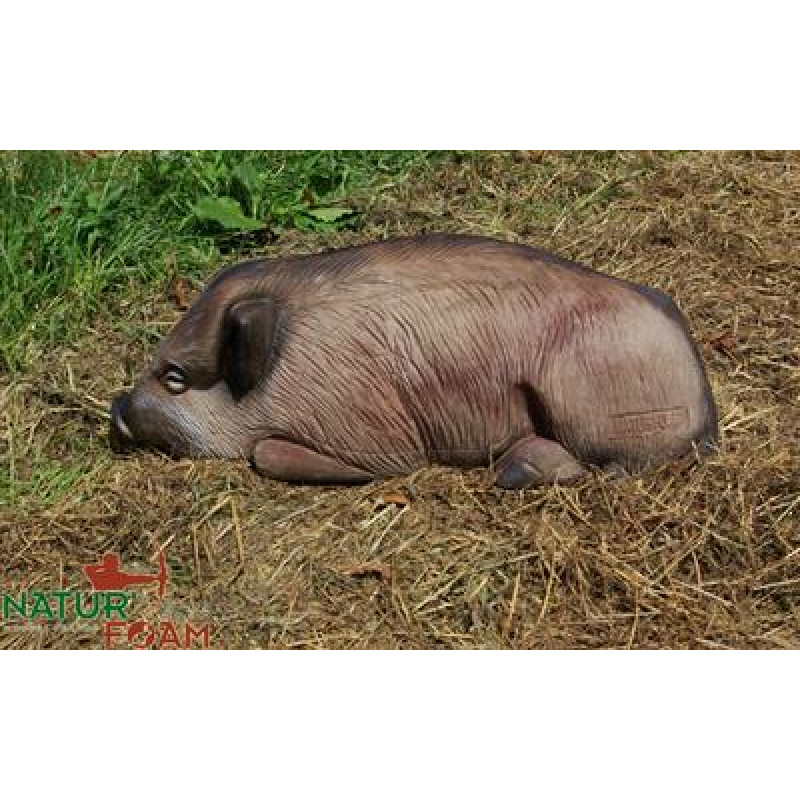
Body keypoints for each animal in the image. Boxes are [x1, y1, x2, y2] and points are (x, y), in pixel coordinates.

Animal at [109, 234, 718, 489]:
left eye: (175, 378)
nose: (117, 408)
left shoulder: (369, 426)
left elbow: (266, 453)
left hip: (590, 403)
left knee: (607, 466)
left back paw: (513, 476)